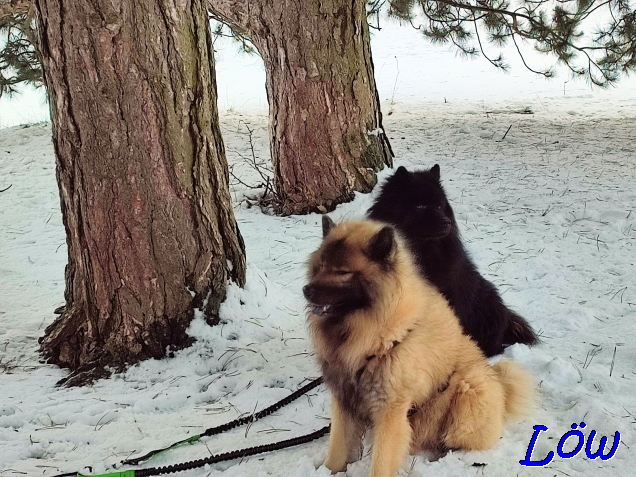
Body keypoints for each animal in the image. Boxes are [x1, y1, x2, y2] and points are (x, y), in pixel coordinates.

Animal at [306, 217, 536, 476]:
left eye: (342, 272)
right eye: (320, 267)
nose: (307, 290)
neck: (379, 336)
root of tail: (501, 386)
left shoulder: (391, 411)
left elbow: (381, 461)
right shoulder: (344, 400)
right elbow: (338, 448)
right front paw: (329, 470)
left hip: (471, 387)